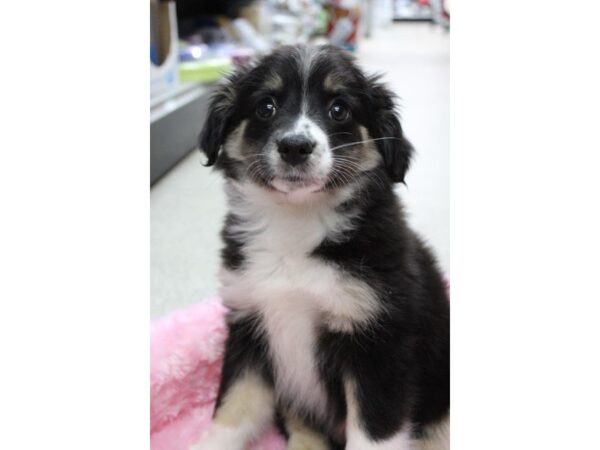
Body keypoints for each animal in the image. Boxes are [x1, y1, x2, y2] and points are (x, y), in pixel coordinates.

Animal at [192, 44, 450, 450]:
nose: (295, 147)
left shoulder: (379, 342)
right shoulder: (248, 326)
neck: (296, 223)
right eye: (266, 106)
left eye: (339, 109)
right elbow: (233, 407)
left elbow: (373, 434)